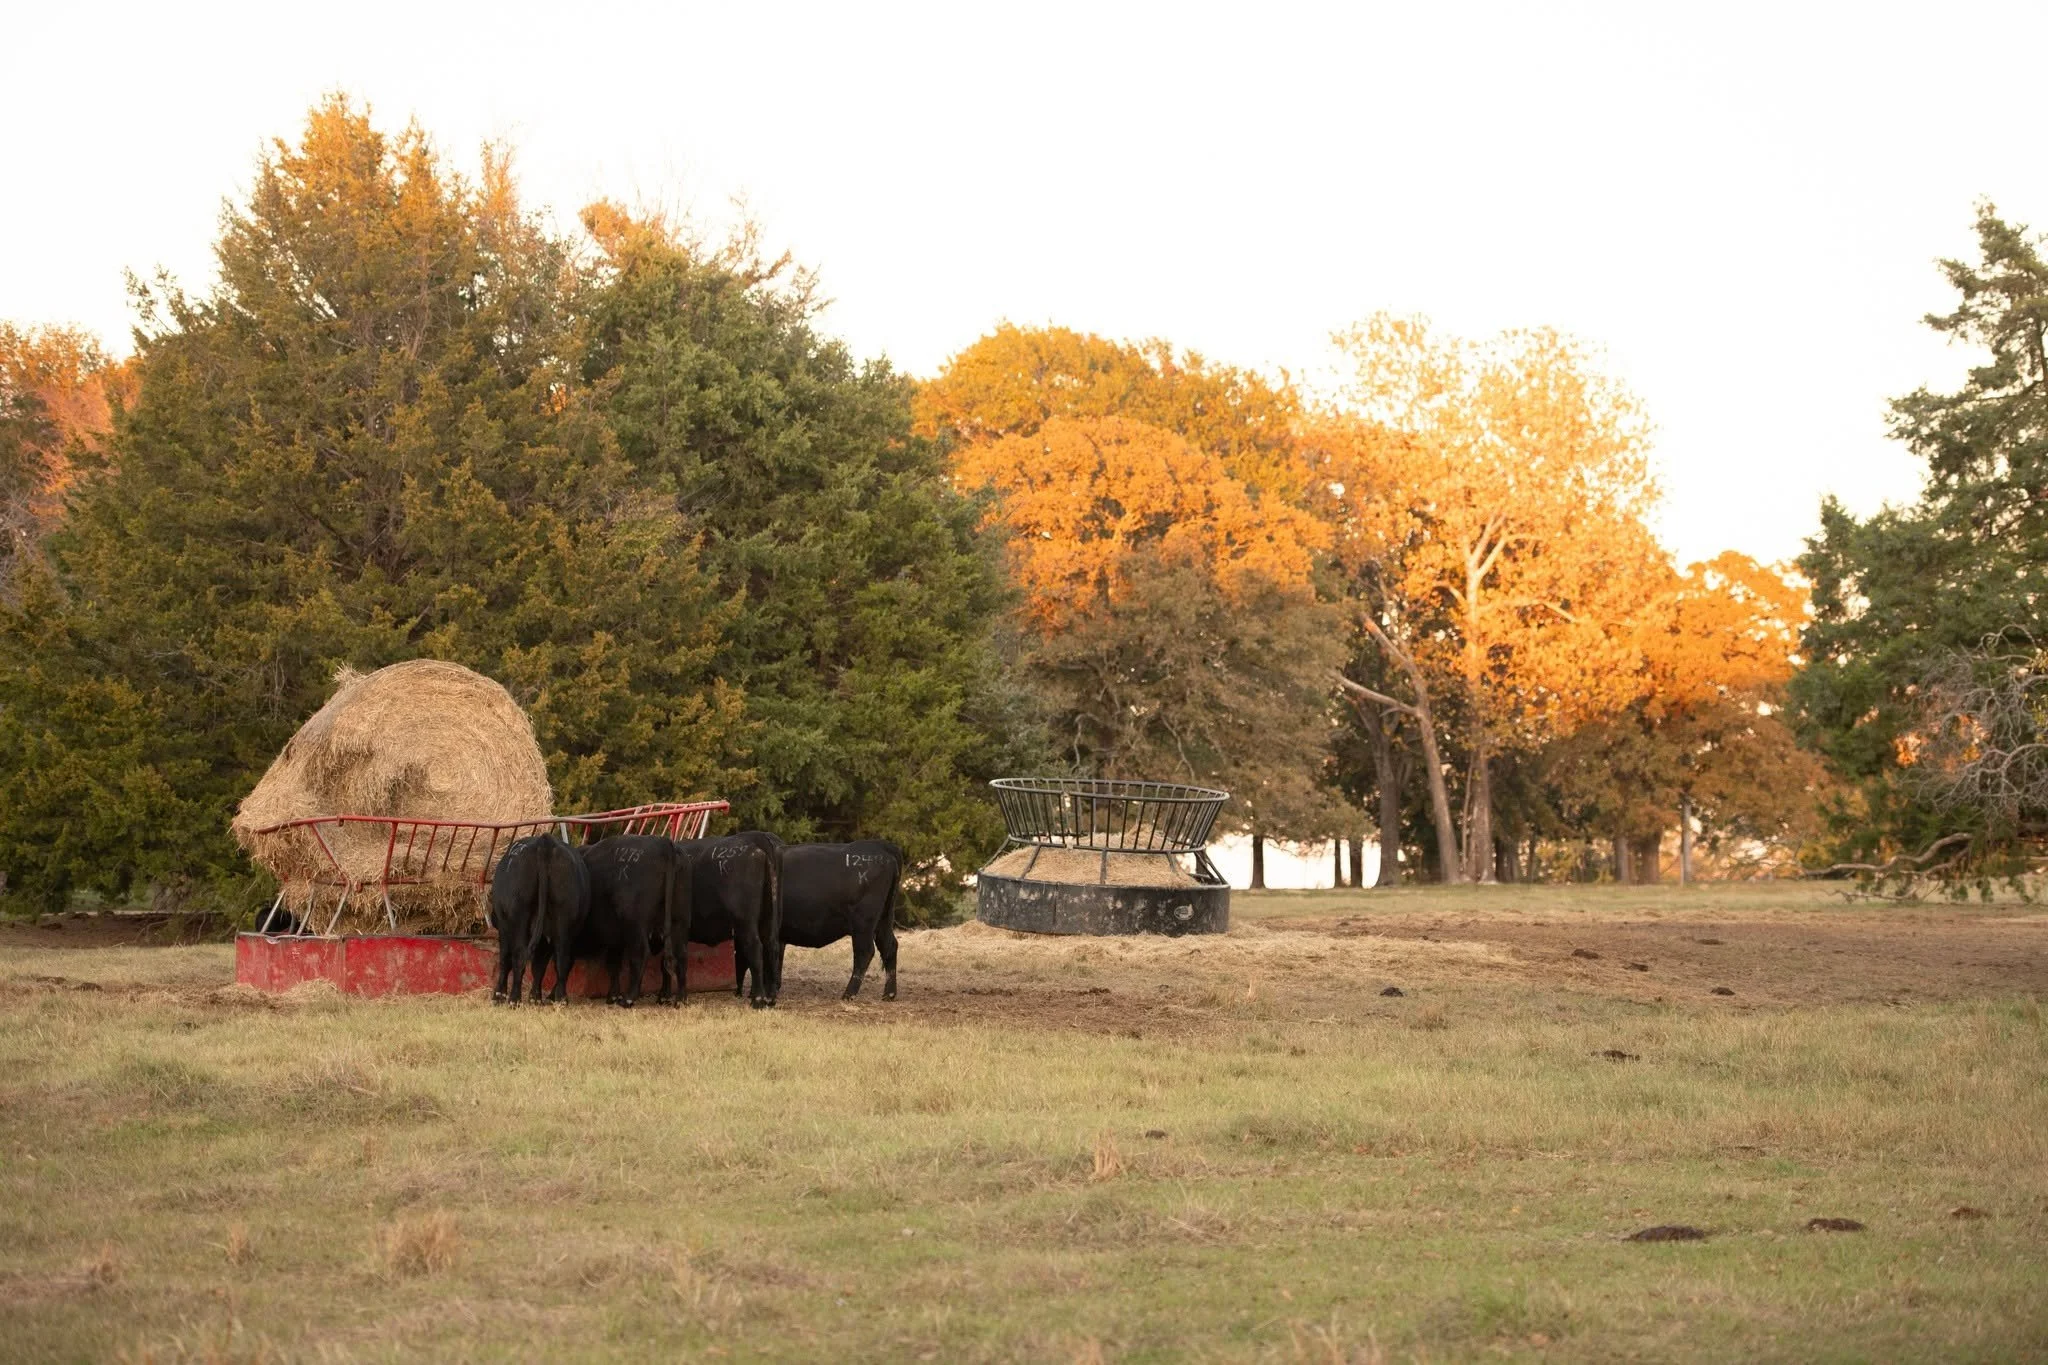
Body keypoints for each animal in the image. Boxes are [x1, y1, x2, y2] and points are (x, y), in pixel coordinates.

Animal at [487, 834, 591, 1005]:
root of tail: (545, 841)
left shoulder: (504, 929)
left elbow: (505, 960)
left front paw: (499, 994)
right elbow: (539, 966)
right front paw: (535, 997)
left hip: (520, 917)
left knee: (519, 956)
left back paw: (514, 999)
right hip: (563, 919)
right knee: (562, 958)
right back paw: (560, 999)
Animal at [578, 835, 690, 1007]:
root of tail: (664, 843)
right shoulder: (616, 938)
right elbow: (613, 964)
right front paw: (613, 995)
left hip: (635, 924)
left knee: (641, 953)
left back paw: (629, 998)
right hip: (679, 922)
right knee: (681, 955)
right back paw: (680, 999)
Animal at [675, 834, 779, 1009]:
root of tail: (755, 846)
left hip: (745, 922)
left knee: (755, 949)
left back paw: (758, 999)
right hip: (767, 919)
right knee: (769, 949)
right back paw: (769, 998)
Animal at [758, 839, 901, 1001]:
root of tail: (879, 845)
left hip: (863, 922)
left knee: (865, 952)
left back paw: (849, 994)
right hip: (884, 919)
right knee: (889, 946)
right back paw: (889, 994)